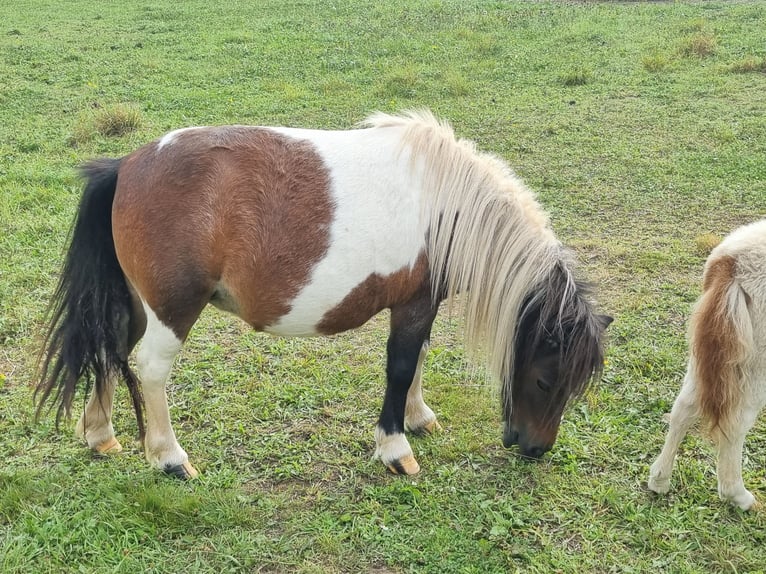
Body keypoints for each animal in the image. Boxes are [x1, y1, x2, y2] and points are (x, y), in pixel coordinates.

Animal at [36, 110, 612, 480]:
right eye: (545, 379)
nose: (536, 448)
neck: (444, 204)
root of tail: (126, 165)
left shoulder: (420, 305)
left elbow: (418, 360)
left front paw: (418, 416)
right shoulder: (413, 305)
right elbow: (401, 366)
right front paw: (395, 447)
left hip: (139, 305)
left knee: (110, 350)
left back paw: (100, 434)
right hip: (173, 308)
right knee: (152, 370)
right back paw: (169, 458)